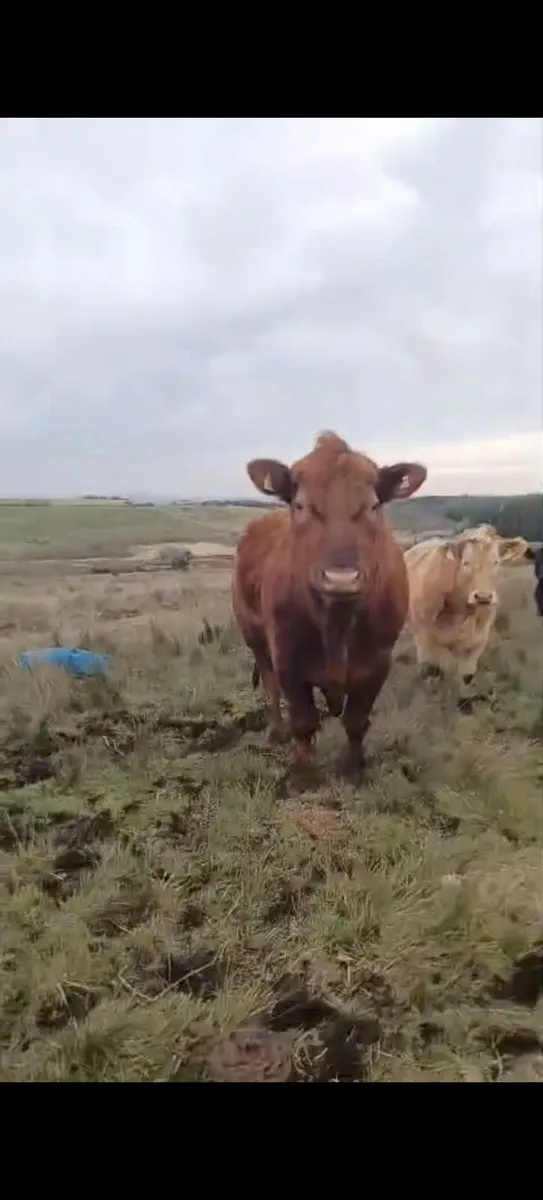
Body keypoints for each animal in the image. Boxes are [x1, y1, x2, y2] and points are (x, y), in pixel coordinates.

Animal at [232, 431, 427, 774]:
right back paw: (276, 731)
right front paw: (303, 772)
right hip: (255, 639)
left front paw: (353, 768)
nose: (341, 578)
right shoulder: (287, 659)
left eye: (373, 506)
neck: (337, 623)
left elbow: (356, 721)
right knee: (271, 689)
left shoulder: (378, 662)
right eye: (300, 505)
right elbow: (303, 722)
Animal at [404, 526, 528, 684]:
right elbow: (432, 670)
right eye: (466, 562)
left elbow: (466, 677)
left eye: (496, 562)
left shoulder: (477, 643)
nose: (483, 597)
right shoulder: (426, 639)